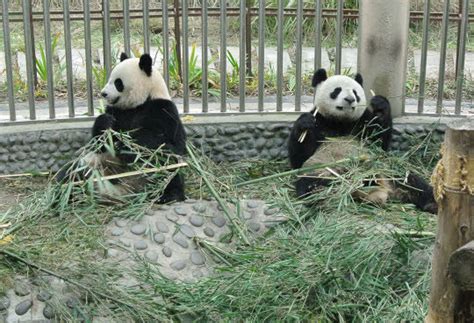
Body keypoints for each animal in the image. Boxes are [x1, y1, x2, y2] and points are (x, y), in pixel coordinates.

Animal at [56, 54, 186, 204]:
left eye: (118, 83)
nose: (103, 93)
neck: (139, 103)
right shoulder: (116, 112)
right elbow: (98, 143)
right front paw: (105, 122)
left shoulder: (162, 110)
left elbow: (158, 139)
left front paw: (125, 147)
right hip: (92, 162)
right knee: (72, 170)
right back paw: (64, 194)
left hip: (154, 170)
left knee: (168, 165)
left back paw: (170, 195)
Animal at [286, 69, 436, 214]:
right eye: (337, 90)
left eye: (355, 92)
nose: (350, 99)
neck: (341, 122)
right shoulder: (320, 122)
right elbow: (299, 157)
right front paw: (304, 124)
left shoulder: (362, 122)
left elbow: (379, 141)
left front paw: (380, 106)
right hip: (324, 170)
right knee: (310, 183)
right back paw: (322, 195)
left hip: (388, 171)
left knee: (414, 183)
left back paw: (431, 202)